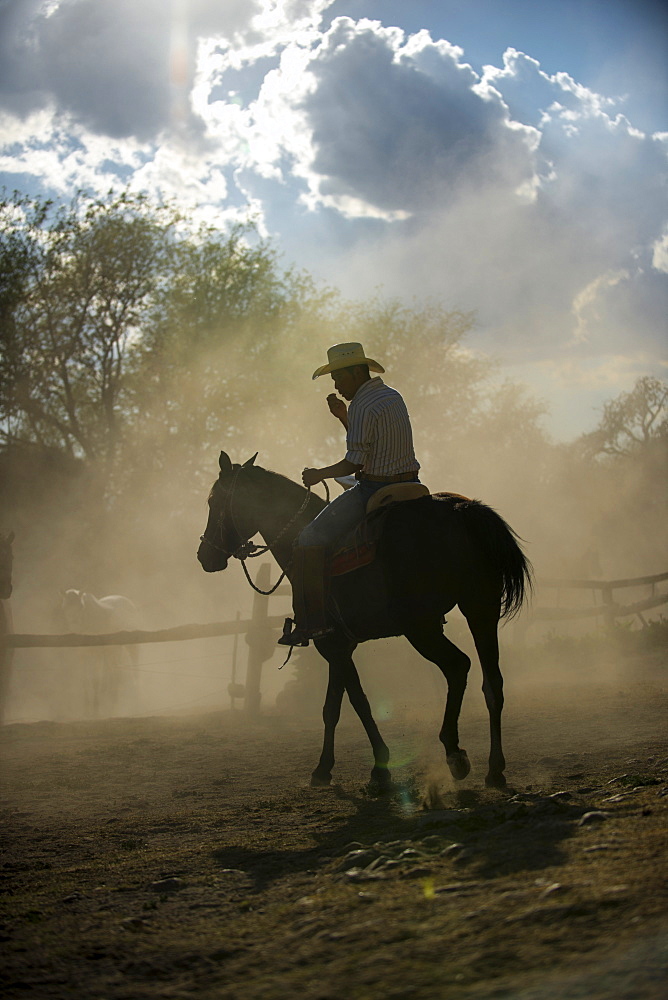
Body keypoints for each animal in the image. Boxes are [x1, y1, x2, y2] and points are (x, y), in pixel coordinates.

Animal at [60, 584, 140, 720]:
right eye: (65, 607)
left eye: (81, 606)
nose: (76, 632)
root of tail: (130, 603)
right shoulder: (83, 656)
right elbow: (85, 680)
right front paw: (86, 710)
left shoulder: (96, 654)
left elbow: (95, 680)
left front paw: (96, 710)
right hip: (112, 651)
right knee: (113, 674)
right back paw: (110, 701)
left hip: (129, 648)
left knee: (132, 671)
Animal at [196, 454, 528, 788]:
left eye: (214, 500)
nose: (204, 556)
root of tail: (463, 513)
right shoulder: (340, 643)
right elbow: (332, 706)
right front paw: (323, 768)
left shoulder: (331, 644)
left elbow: (358, 701)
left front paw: (380, 768)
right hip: (480, 608)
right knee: (493, 683)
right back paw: (495, 769)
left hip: (422, 627)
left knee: (458, 667)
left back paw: (455, 754)